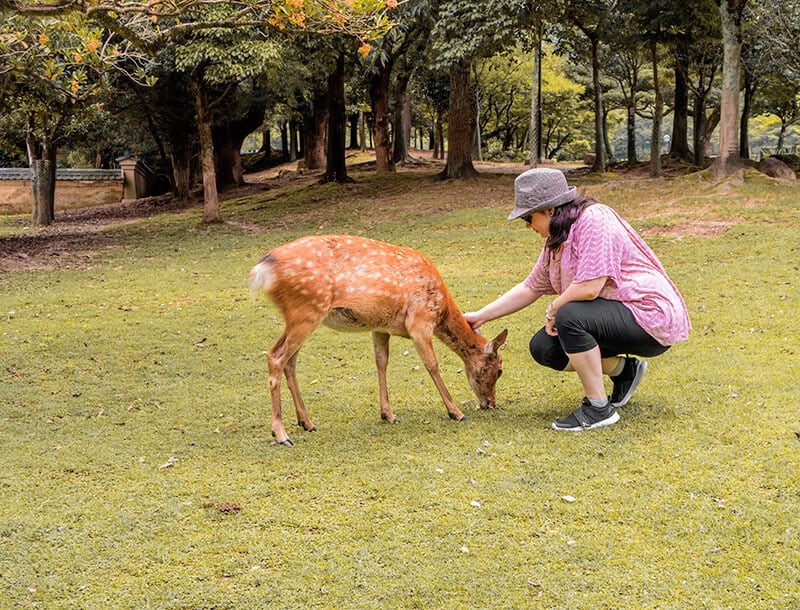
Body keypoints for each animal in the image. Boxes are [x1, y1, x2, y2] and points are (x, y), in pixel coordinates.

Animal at [250, 232, 506, 442]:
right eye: (500, 370)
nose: (490, 403)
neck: (441, 310)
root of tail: (262, 269)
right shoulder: (420, 321)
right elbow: (432, 365)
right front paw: (456, 412)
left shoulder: (381, 326)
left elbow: (381, 362)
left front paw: (388, 414)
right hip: (307, 310)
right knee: (275, 356)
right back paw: (281, 433)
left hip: (299, 316)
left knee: (289, 361)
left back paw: (307, 422)